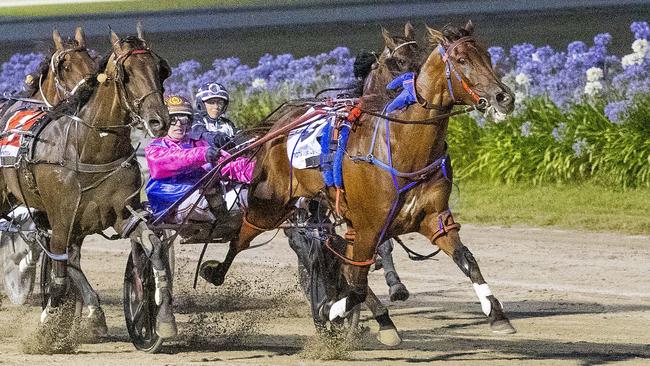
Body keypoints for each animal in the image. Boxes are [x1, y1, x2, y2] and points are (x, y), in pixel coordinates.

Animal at [0, 26, 172, 338]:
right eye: (126, 73)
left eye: (161, 69)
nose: (159, 121)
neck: (89, 147)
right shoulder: (61, 218)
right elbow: (59, 274)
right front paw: (48, 322)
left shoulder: (119, 214)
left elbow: (151, 244)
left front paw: (161, 315)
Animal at [204, 20, 516, 340]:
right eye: (461, 59)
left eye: (488, 57)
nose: (503, 97)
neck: (402, 144)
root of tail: (280, 124)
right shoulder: (368, 226)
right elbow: (355, 284)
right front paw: (332, 311)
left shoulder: (432, 218)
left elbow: (466, 258)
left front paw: (496, 313)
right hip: (271, 204)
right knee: (245, 235)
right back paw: (215, 272)